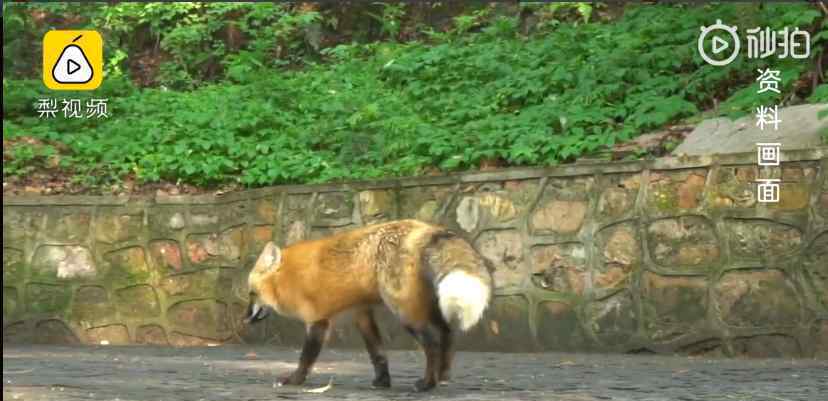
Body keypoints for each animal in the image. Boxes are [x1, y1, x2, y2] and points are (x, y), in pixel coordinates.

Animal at [244, 217, 492, 390]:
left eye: (251, 294)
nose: (244, 319)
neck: (289, 277)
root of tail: (425, 227)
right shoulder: (361, 314)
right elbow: (378, 354)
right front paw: (382, 382)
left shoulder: (318, 321)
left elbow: (305, 359)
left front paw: (295, 380)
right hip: (430, 306)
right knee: (448, 334)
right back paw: (442, 375)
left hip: (405, 312)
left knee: (432, 343)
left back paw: (427, 384)